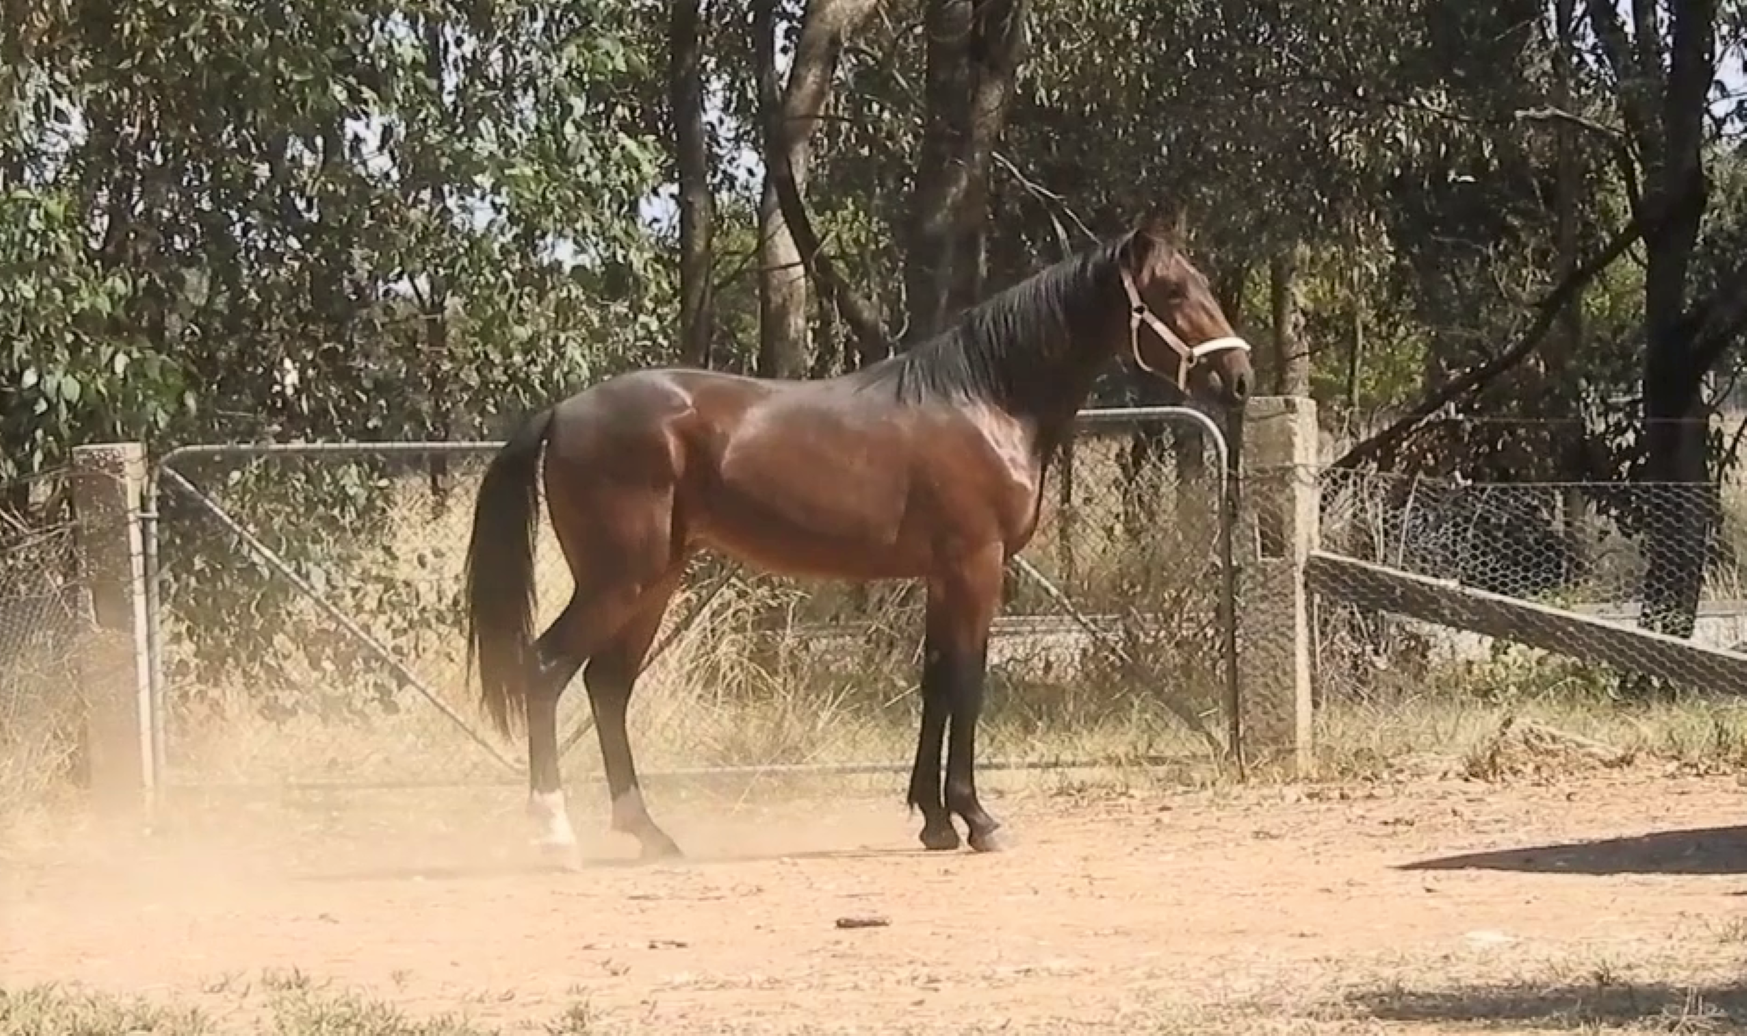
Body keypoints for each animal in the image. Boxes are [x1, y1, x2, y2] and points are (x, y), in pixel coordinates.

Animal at [461, 216, 1253, 862]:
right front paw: (976, 819)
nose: (1240, 377)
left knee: (606, 686)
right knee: (545, 669)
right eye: (1172, 291)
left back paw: (648, 832)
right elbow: (967, 683)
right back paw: (555, 833)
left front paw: (934, 821)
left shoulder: (942, 576)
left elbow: (935, 683)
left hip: (654, 582)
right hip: (616, 579)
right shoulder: (976, 567)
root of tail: (564, 410)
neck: (984, 401)